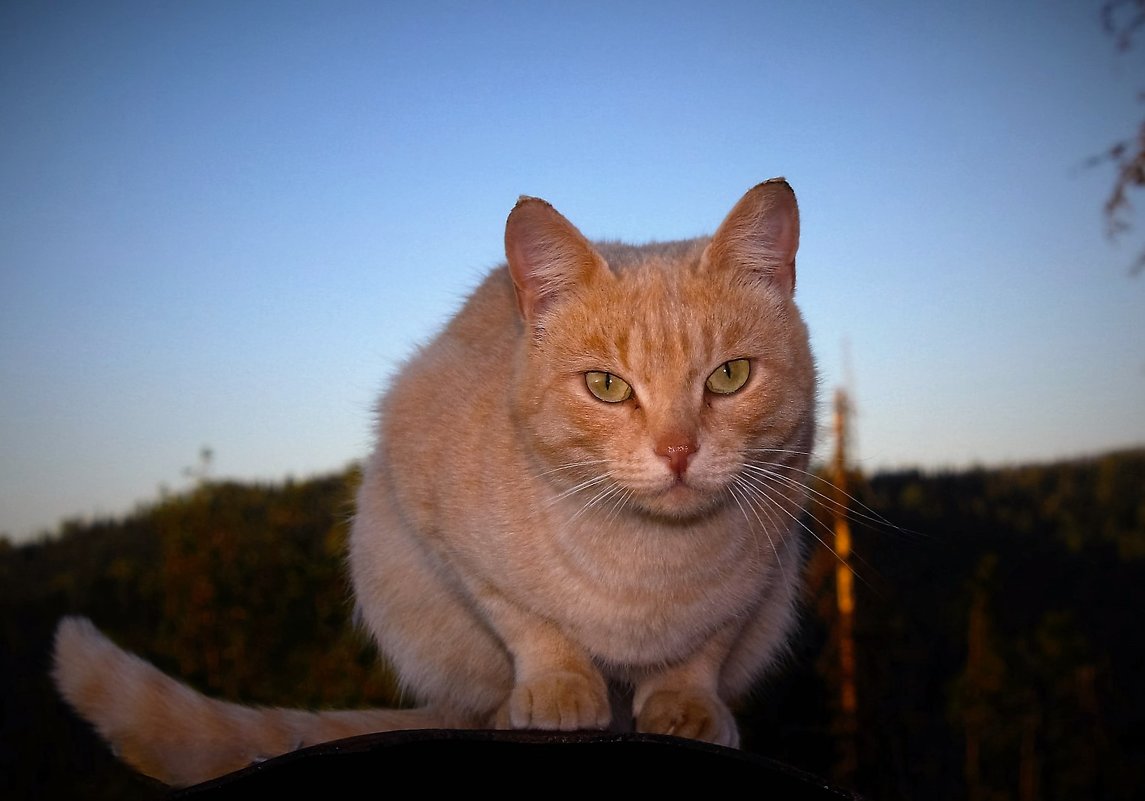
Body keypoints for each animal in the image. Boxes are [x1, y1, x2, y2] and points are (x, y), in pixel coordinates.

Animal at [53, 178, 819, 787]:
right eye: (606, 386)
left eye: (729, 376)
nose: (678, 450)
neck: (650, 560)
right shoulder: (444, 530)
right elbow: (532, 626)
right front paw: (559, 690)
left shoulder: (761, 574)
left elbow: (702, 649)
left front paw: (686, 706)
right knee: (474, 700)